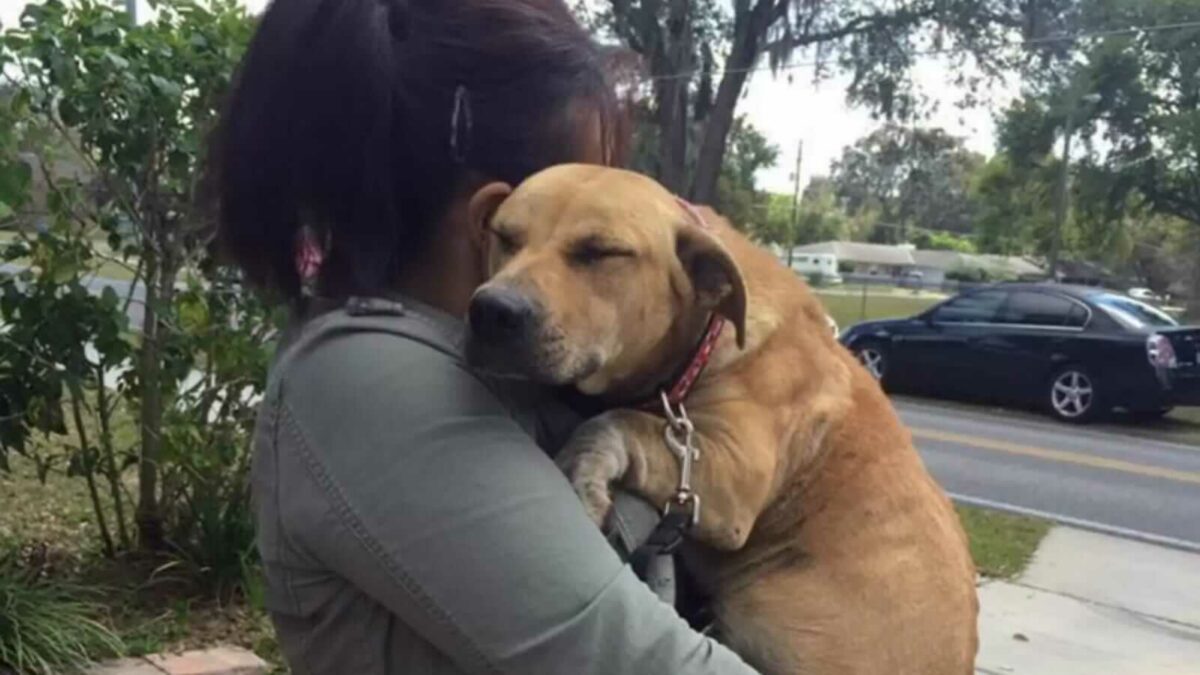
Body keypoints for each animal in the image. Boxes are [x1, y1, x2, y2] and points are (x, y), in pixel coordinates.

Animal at [463, 164, 979, 672]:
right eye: (503, 236)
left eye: (601, 252)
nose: (493, 310)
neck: (705, 338)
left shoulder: (732, 475)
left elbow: (617, 422)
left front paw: (582, 469)